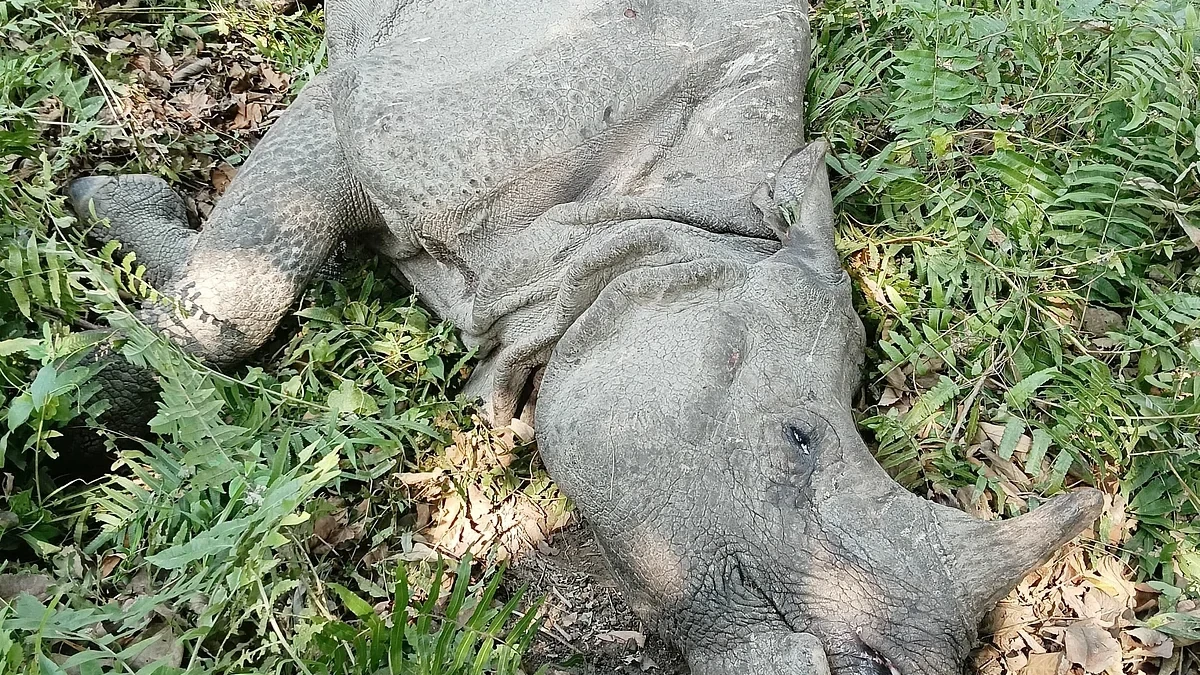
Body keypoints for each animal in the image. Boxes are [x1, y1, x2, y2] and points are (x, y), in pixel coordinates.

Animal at [68, 0, 1103, 672]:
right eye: (797, 438)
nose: (898, 666)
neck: (660, 226)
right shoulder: (366, 114)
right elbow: (235, 304)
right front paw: (85, 404)